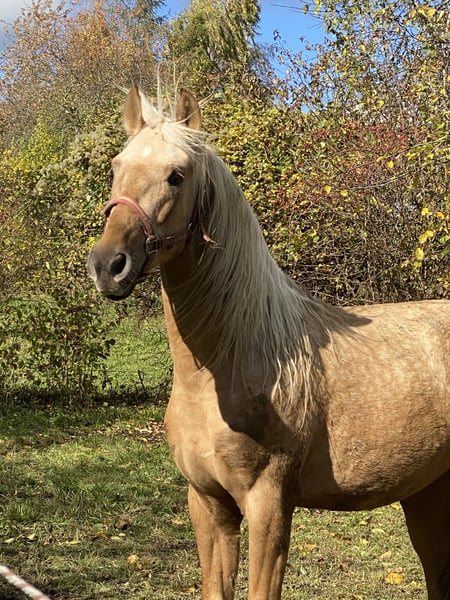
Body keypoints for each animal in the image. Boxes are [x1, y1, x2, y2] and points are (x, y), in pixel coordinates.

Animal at [87, 86, 450, 599]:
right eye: (116, 168)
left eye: (177, 175)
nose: (107, 265)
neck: (230, 361)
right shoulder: (208, 505)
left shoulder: (268, 506)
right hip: (427, 493)